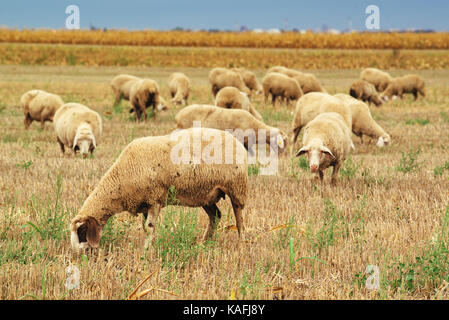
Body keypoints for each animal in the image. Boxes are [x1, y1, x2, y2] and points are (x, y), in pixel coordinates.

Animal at [69, 126, 248, 251]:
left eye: (82, 231)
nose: (80, 254)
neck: (120, 179)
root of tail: (236, 141)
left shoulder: (155, 199)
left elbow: (149, 228)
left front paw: (147, 251)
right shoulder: (145, 203)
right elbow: (145, 228)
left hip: (236, 187)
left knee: (239, 217)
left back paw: (242, 243)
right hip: (206, 194)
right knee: (216, 216)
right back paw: (204, 243)